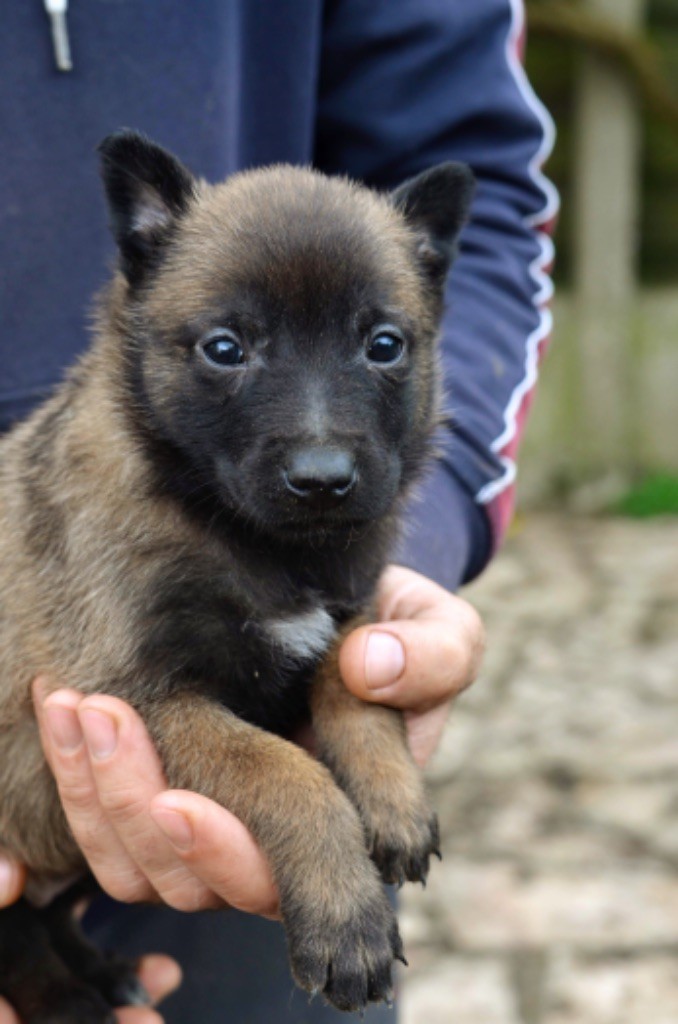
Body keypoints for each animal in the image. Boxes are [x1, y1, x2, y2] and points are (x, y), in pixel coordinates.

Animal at [0, 132, 475, 1019]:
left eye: (384, 344)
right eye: (226, 348)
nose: (322, 480)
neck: (254, 542)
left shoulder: (348, 618)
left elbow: (356, 693)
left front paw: (392, 797)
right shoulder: (145, 697)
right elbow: (284, 773)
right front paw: (345, 915)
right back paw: (69, 999)